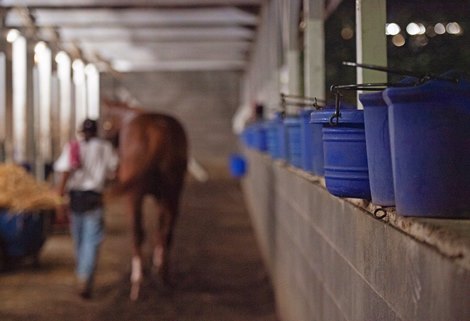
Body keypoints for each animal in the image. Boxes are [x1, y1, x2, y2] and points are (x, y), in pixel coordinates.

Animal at [101, 99, 187, 298]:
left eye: (105, 122)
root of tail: (158, 132)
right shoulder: (161, 197)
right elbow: (159, 228)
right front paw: (156, 262)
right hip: (173, 193)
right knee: (166, 232)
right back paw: (163, 276)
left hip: (134, 197)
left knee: (137, 232)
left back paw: (137, 281)